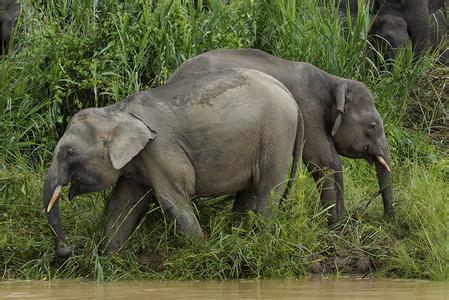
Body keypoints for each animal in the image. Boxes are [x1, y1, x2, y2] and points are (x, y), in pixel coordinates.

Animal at [43, 68, 302, 258]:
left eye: (69, 152)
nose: (65, 250)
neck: (117, 111)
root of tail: (289, 93)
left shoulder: (160, 149)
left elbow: (172, 201)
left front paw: (202, 253)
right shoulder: (137, 160)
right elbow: (123, 204)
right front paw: (107, 259)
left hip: (277, 134)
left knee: (266, 190)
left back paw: (260, 242)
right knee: (249, 192)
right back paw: (238, 240)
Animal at [166, 47, 394, 225]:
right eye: (372, 126)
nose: (387, 219)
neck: (334, 80)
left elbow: (331, 162)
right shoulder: (308, 110)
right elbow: (323, 161)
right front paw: (335, 226)